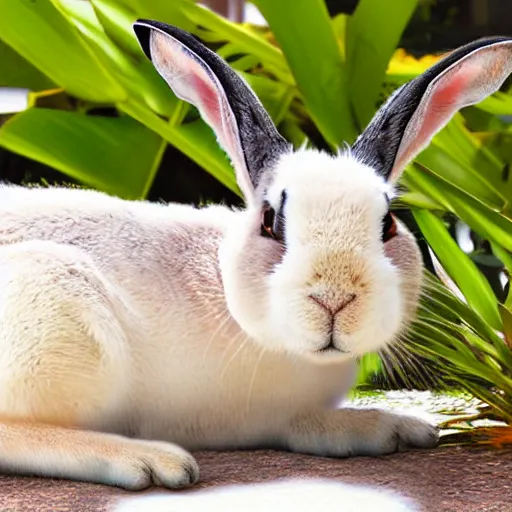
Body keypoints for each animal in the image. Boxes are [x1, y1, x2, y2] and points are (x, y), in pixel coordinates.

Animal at [0, 21, 510, 492]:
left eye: (386, 225)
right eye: (270, 222)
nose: (334, 298)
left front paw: (407, 429)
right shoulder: (248, 416)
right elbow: (304, 425)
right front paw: (383, 427)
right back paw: (149, 461)